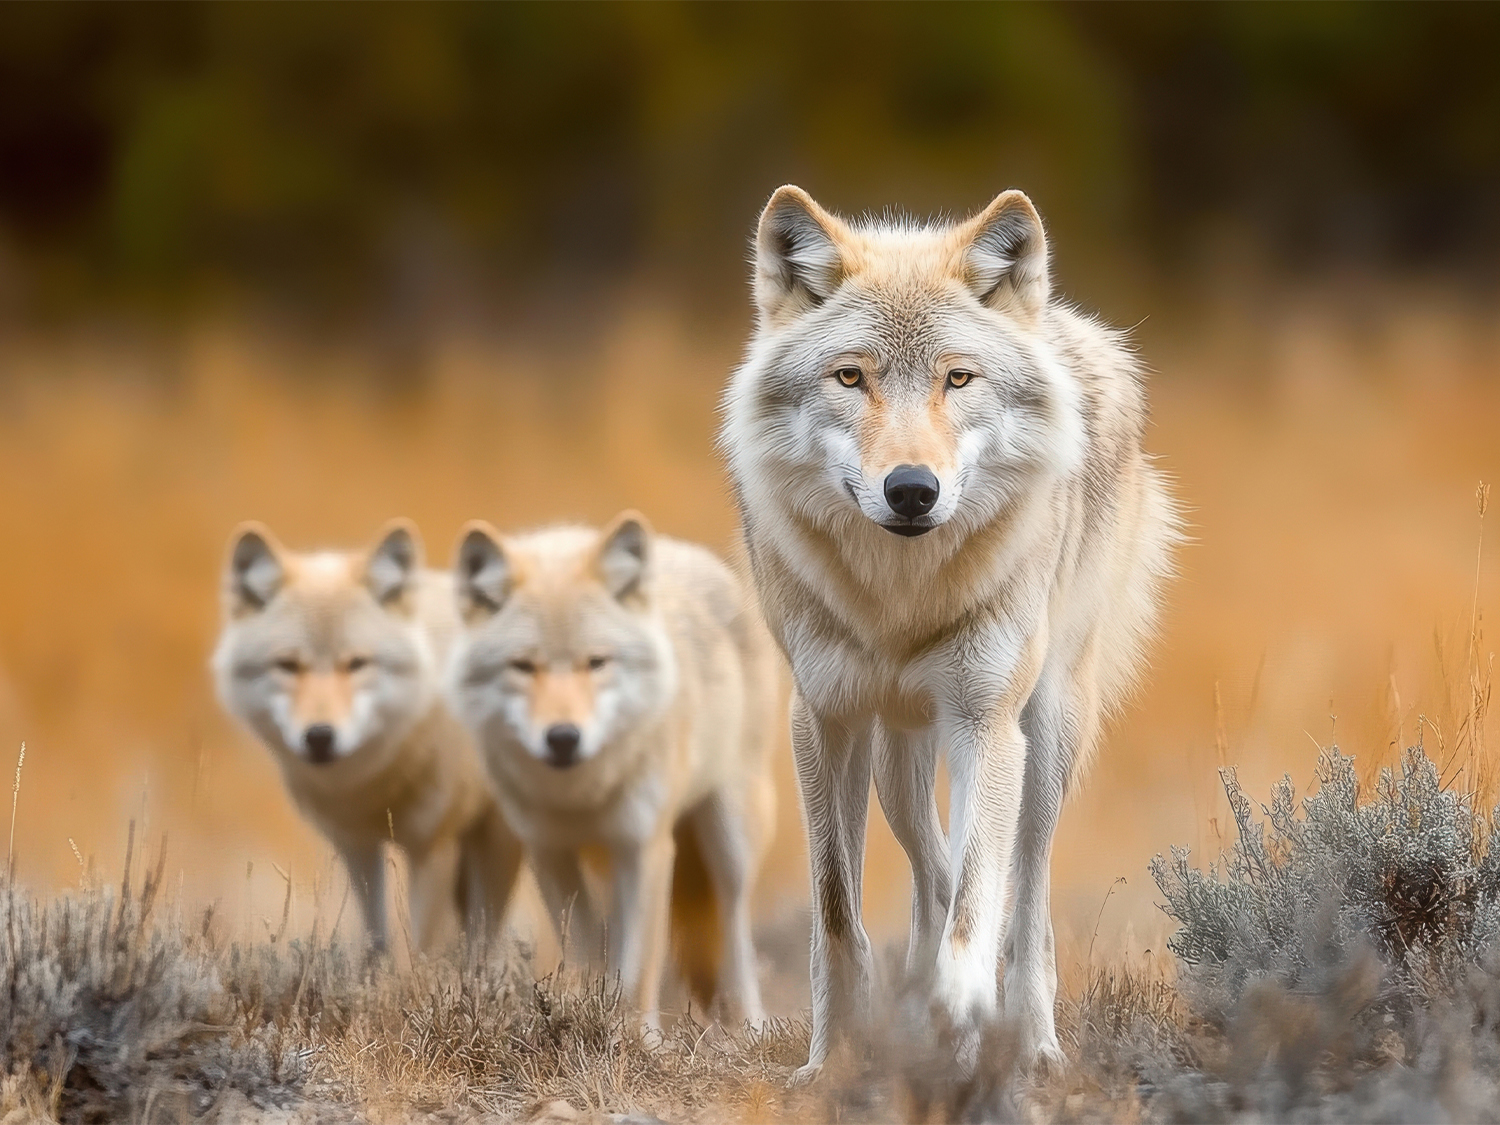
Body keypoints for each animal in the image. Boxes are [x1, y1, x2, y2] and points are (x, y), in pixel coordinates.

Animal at [212, 520, 523, 954]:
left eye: (356, 663)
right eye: (288, 665)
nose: (319, 736)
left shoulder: (432, 846)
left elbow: (420, 947)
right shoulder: (356, 846)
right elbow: (377, 938)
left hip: (499, 844)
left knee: (485, 937)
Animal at [445, 512, 778, 1027]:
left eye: (596, 662)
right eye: (523, 666)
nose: (563, 737)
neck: (581, 794)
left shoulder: (646, 848)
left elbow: (638, 970)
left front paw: (637, 1036)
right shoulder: (550, 852)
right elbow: (588, 949)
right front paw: (591, 1013)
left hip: (730, 839)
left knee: (735, 929)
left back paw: (749, 1026)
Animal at [720, 186, 1179, 1076]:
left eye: (957, 378)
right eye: (851, 375)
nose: (911, 489)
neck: (901, 599)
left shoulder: (985, 724)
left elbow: (978, 902)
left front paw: (964, 1011)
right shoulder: (823, 720)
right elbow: (838, 909)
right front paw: (833, 1059)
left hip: (1045, 735)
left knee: (1023, 896)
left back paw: (1030, 1040)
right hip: (898, 762)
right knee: (932, 867)